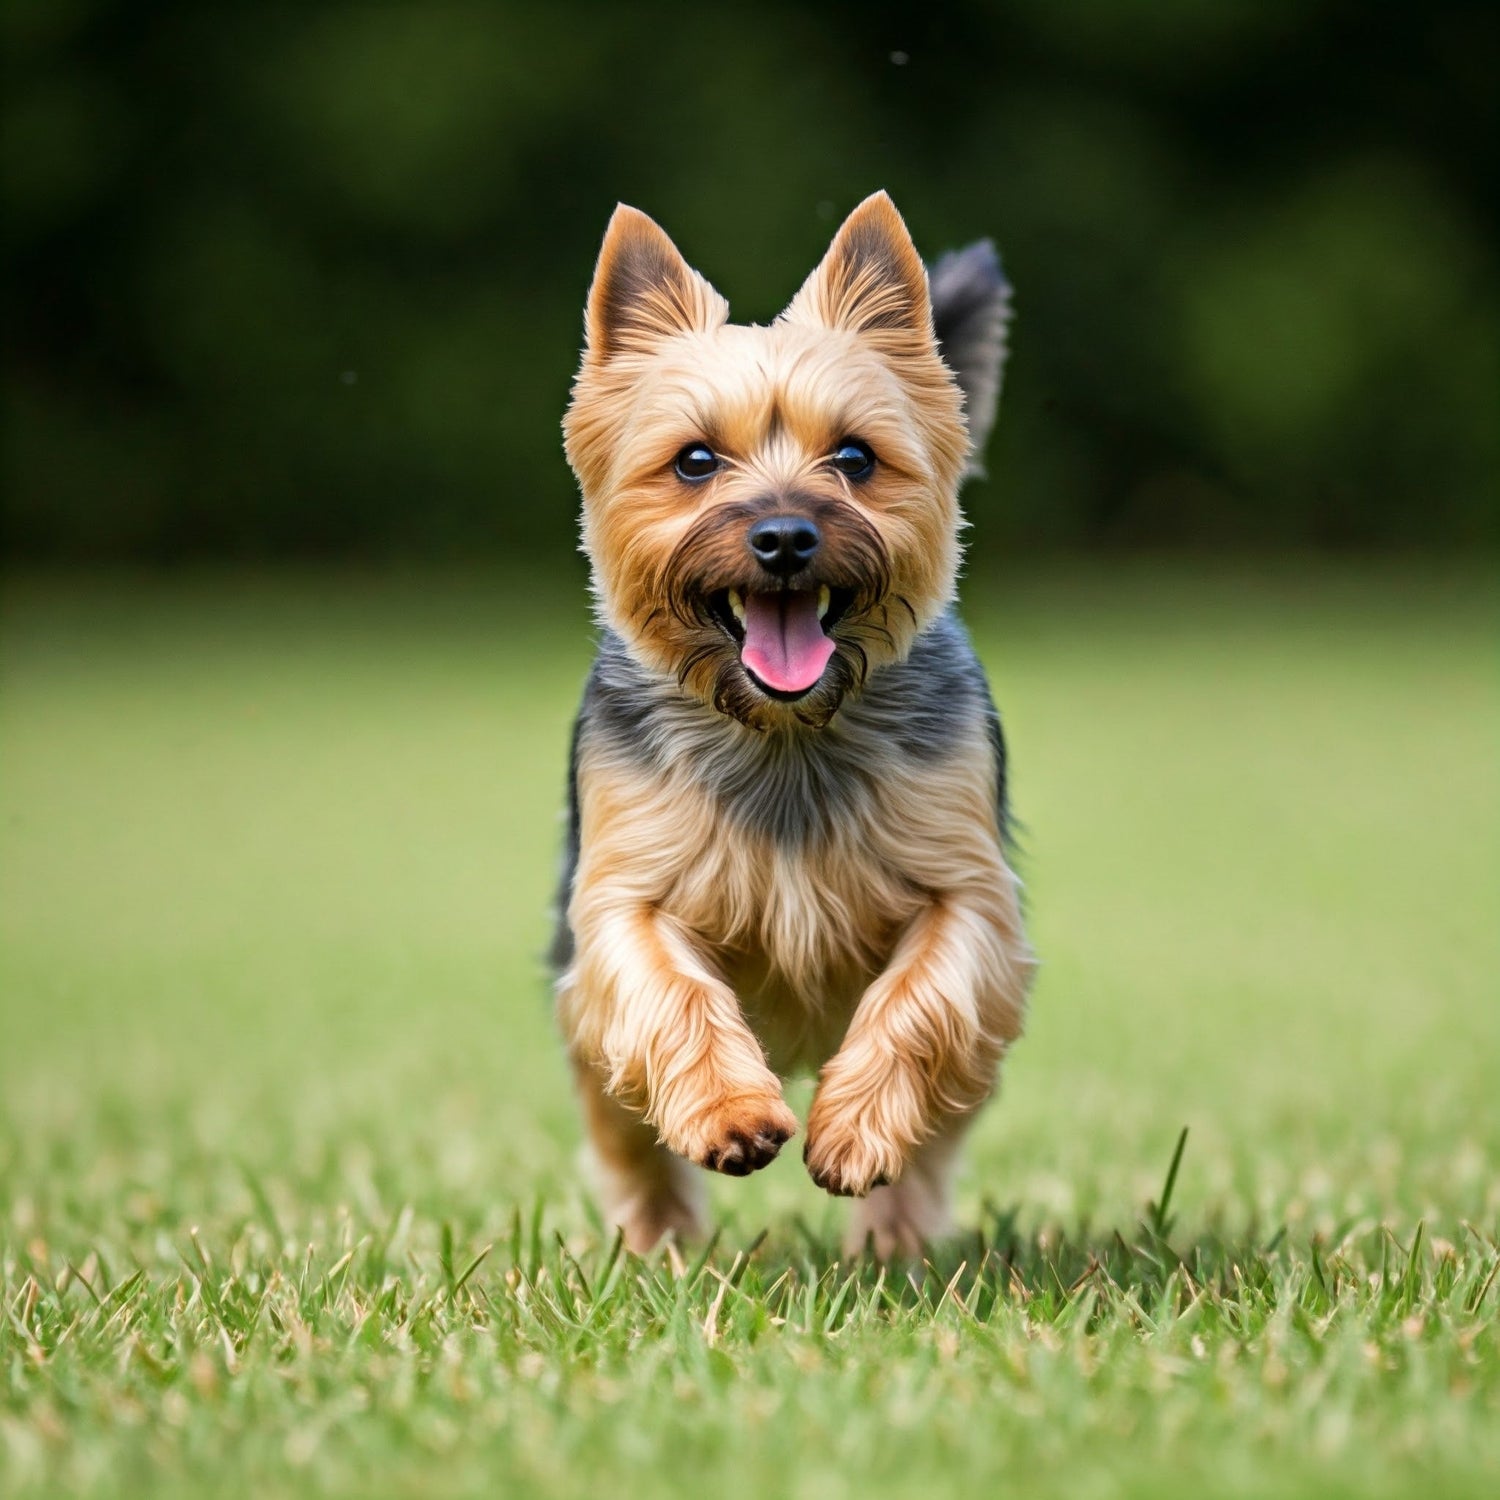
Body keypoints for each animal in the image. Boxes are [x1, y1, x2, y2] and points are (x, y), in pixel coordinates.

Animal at [552, 193, 1032, 1260]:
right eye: (694, 461)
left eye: (854, 457)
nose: (783, 536)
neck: (789, 732)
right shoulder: (623, 897)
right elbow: (669, 990)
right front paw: (732, 1115)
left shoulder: (968, 892)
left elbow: (922, 997)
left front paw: (853, 1134)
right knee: (621, 1128)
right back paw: (656, 1244)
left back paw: (893, 1241)